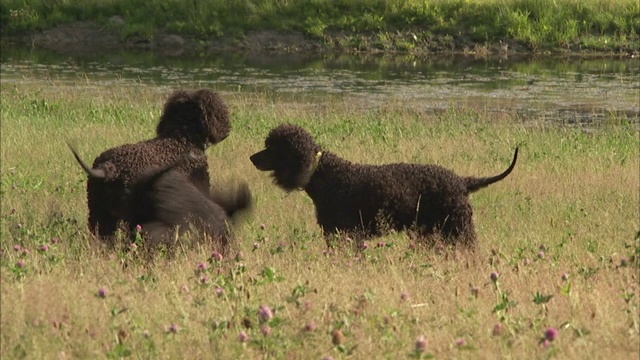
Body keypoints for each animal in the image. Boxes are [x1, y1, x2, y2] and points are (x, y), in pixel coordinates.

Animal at [248, 124, 516, 248]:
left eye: (273, 148)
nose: (252, 158)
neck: (326, 173)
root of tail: (462, 180)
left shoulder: (347, 233)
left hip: (458, 228)